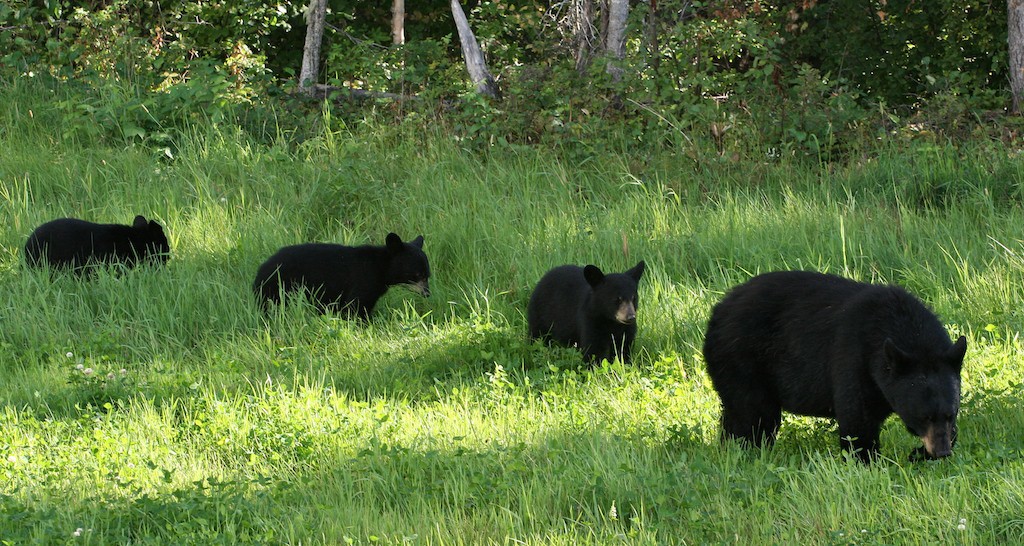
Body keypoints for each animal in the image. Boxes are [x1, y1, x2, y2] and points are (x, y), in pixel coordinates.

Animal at [258, 230, 434, 319]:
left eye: (428, 275)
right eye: (418, 274)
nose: (427, 293)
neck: (381, 267)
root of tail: (261, 268)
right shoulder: (363, 280)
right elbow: (355, 306)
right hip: (278, 287)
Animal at [704, 270, 966, 460]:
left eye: (950, 414)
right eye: (923, 417)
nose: (942, 452)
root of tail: (718, 309)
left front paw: (919, 453)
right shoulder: (855, 358)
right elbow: (857, 421)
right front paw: (867, 462)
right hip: (742, 362)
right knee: (753, 417)